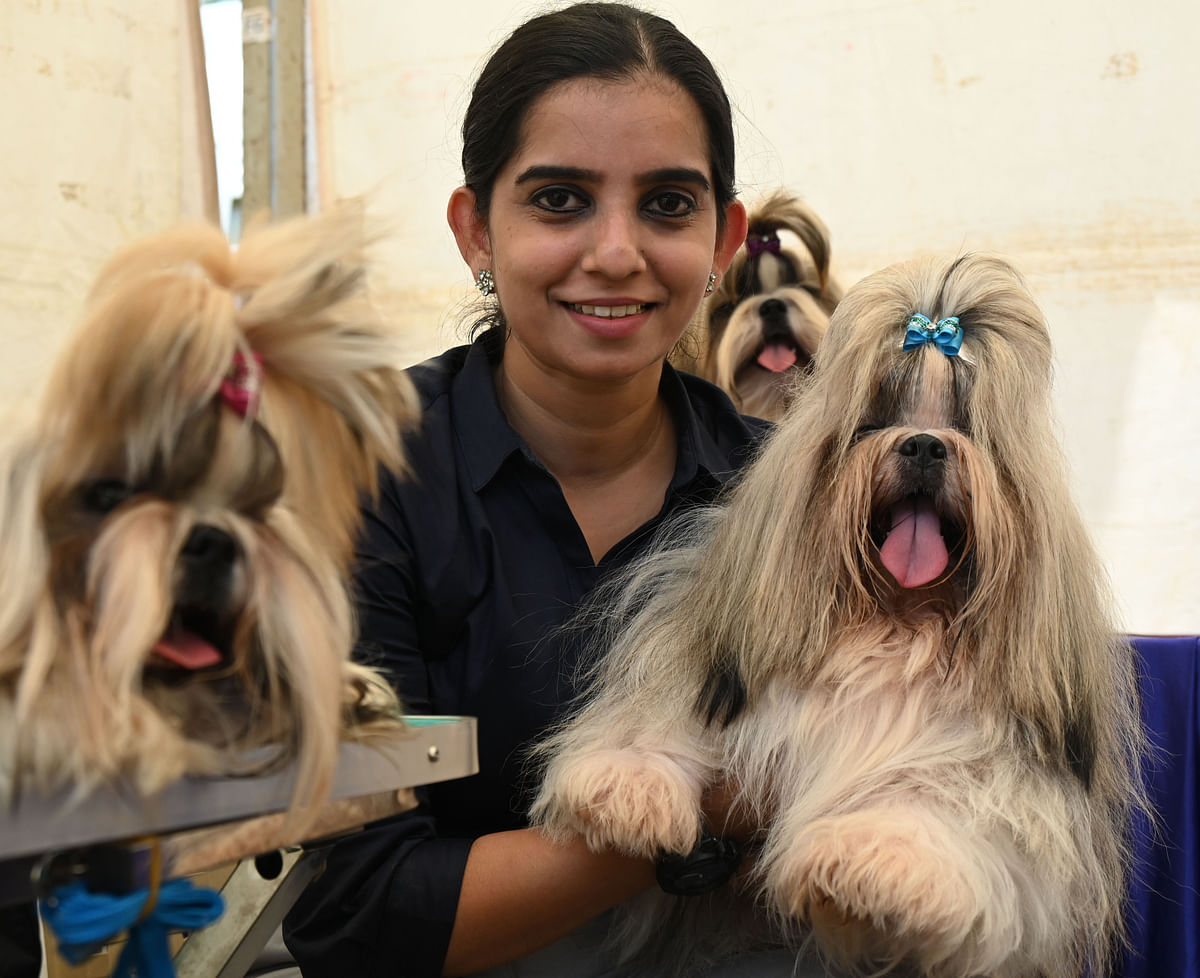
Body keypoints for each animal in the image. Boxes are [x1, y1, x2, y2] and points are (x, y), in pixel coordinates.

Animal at [532, 254, 1142, 978]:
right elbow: (660, 713)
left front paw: (872, 861)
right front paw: (626, 788)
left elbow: (933, 797)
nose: (925, 446)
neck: (892, 621)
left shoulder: (990, 769)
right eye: (871, 424)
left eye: (967, 431)